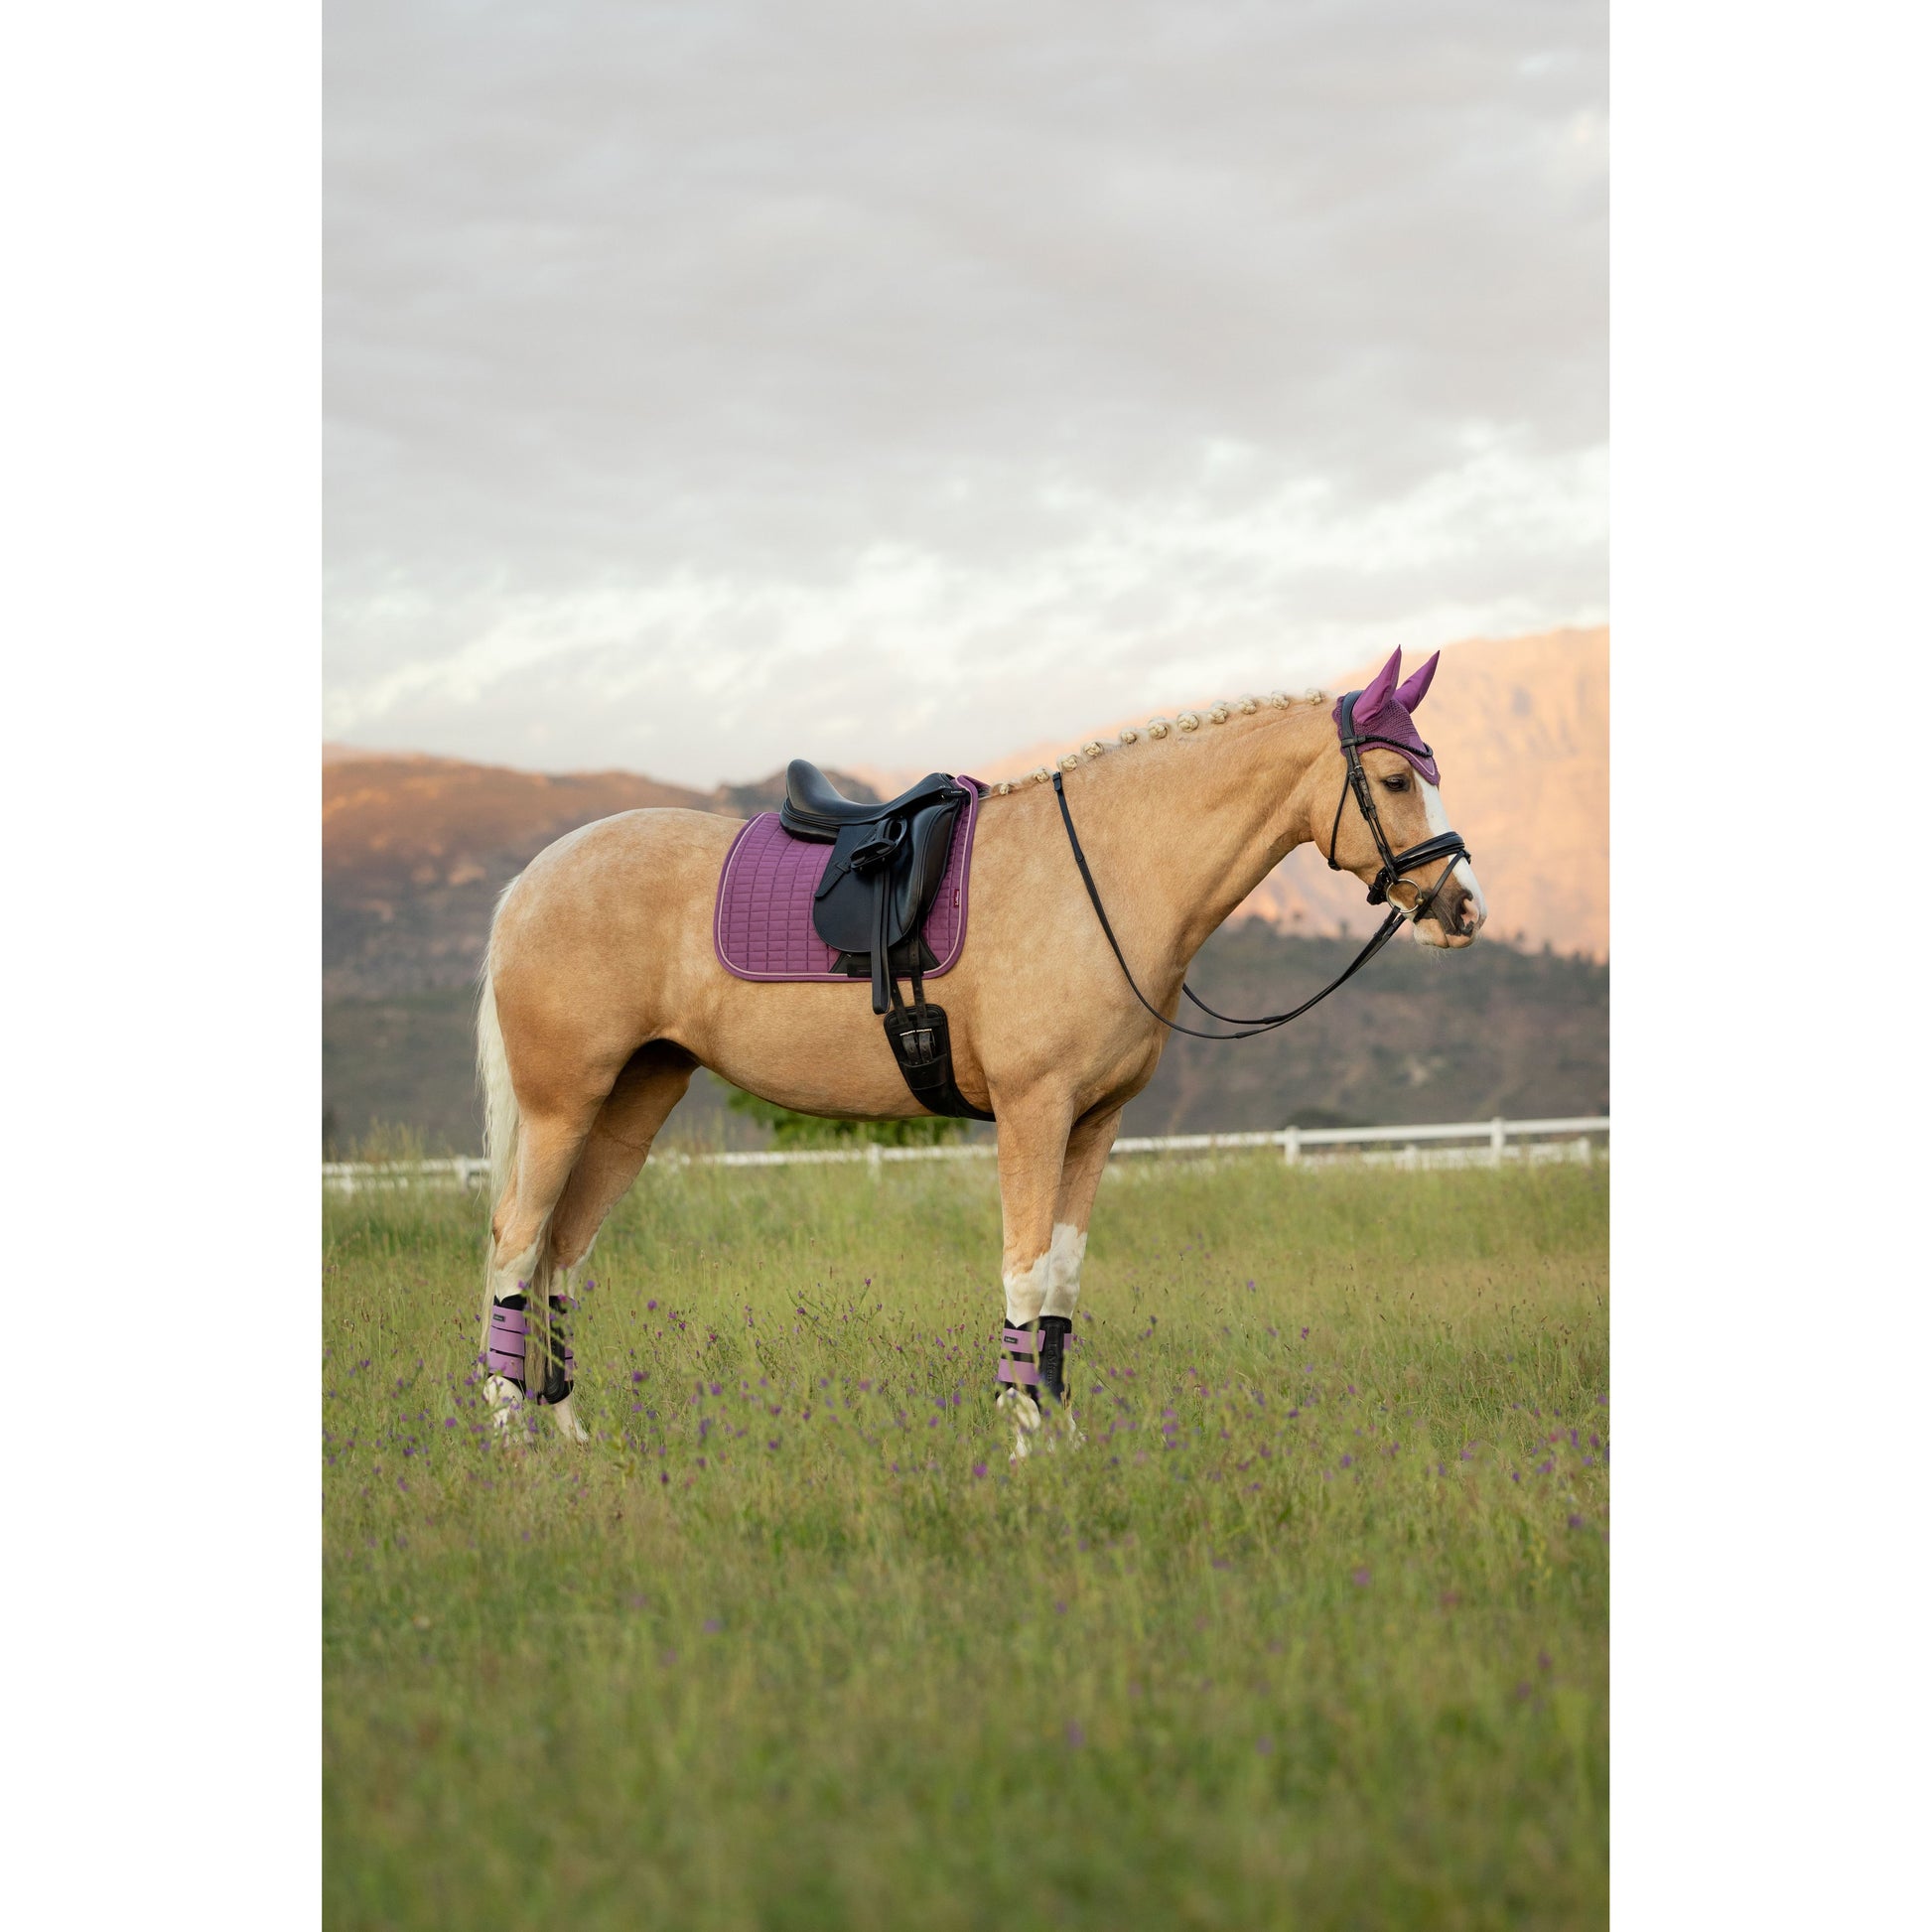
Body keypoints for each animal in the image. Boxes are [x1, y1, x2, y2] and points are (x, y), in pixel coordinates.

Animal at [474, 646, 1487, 1454]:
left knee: (562, 1256)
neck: (1105, 875)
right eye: (1396, 782)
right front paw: (1025, 1435)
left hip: (633, 1104)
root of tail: (532, 879)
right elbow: (1023, 1268)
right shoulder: (1033, 1112)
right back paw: (512, 1438)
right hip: (563, 1105)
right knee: (516, 1247)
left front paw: (1062, 1434)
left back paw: (572, 1434)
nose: (1464, 908)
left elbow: (1063, 1281)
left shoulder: (1095, 1123)